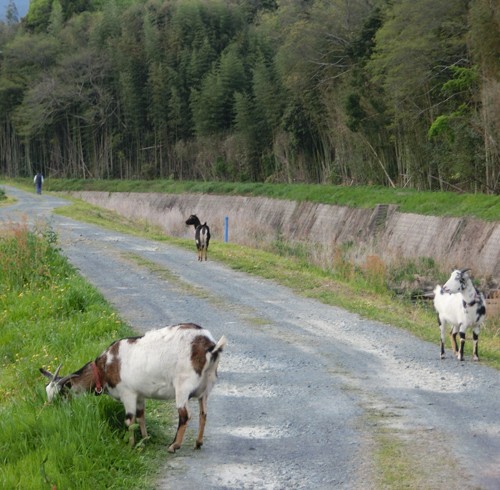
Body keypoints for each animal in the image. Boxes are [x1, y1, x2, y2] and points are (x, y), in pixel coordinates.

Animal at [41, 324, 227, 454]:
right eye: (48, 393)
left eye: (61, 394)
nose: (49, 410)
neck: (104, 368)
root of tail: (211, 346)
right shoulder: (140, 395)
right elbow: (141, 416)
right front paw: (145, 439)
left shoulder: (128, 393)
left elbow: (129, 420)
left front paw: (130, 445)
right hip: (206, 387)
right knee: (203, 414)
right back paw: (198, 443)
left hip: (183, 385)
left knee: (185, 415)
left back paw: (174, 445)